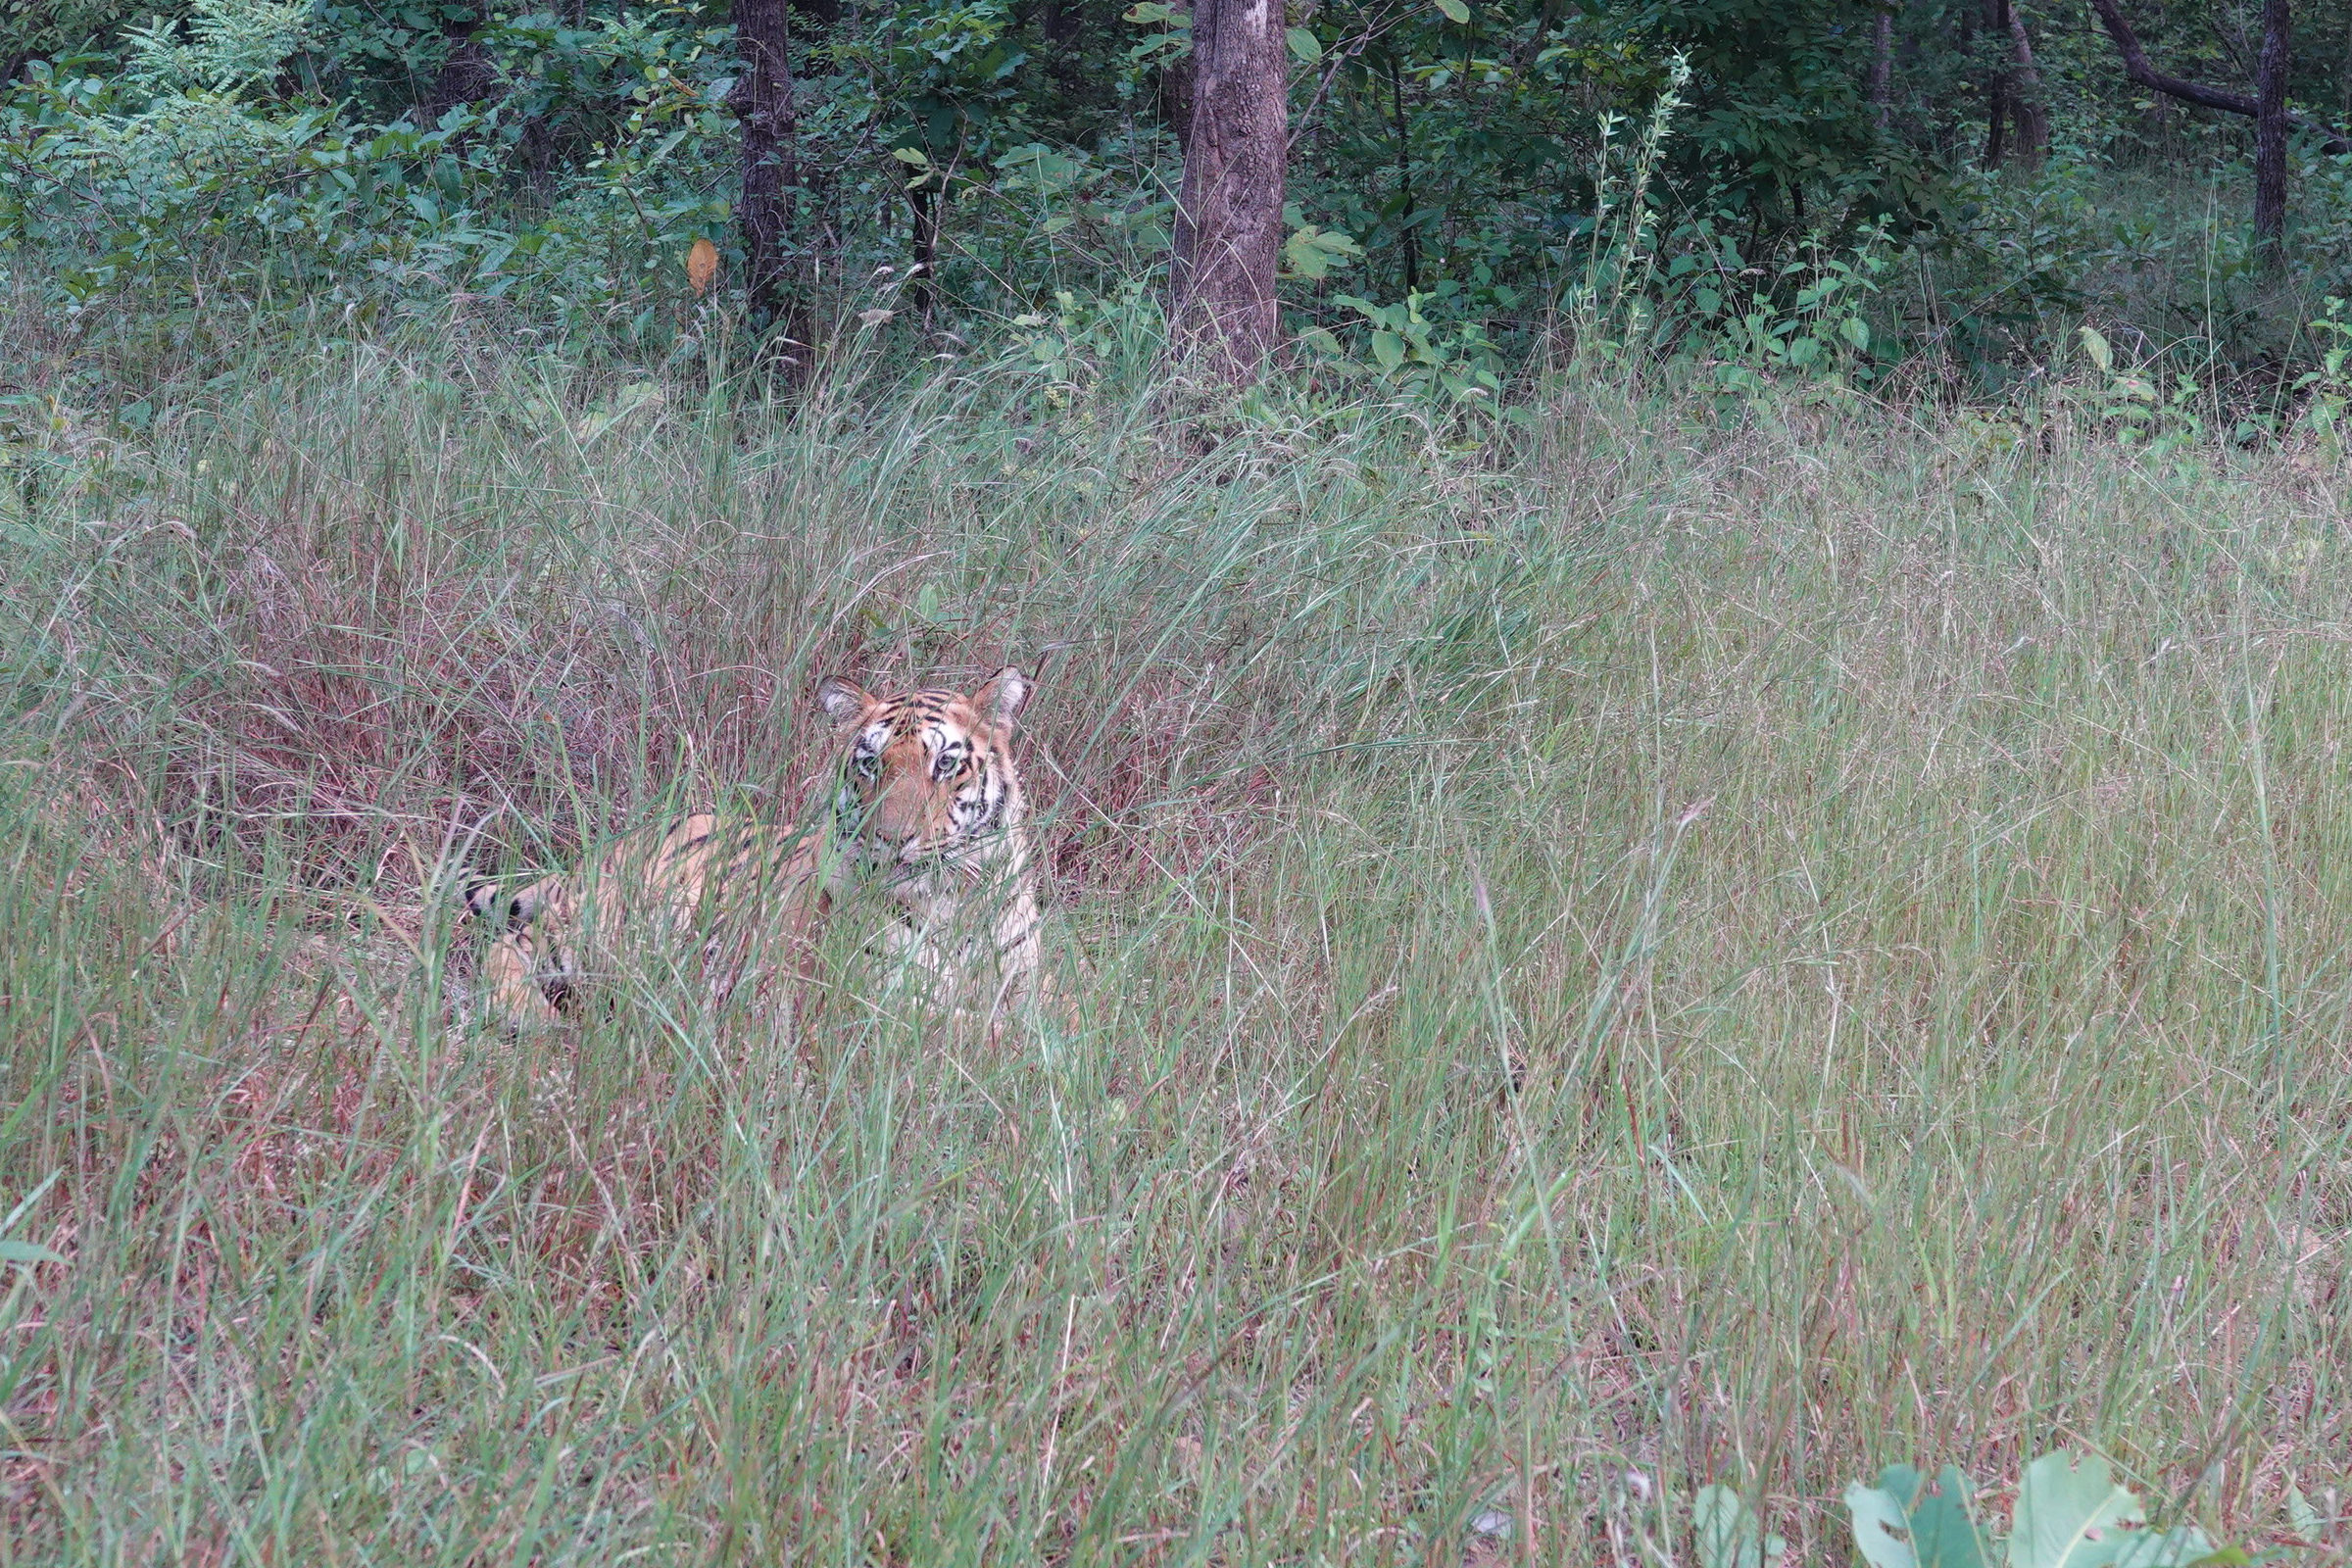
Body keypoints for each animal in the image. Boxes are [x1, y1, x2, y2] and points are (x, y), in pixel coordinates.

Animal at [463, 666, 1043, 1032]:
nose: (892, 840)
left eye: (945, 763)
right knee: (507, 947)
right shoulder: (868, 998)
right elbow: (985, 1034)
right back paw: (535, 1019)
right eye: (870, 764)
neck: (953, 901)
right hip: (624, 923)